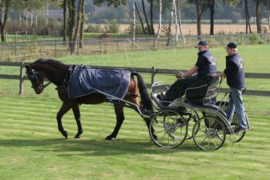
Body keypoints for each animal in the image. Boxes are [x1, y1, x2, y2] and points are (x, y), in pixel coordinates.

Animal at [25, 59, 156, 141]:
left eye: (31, 76)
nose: (38, 90)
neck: (66, 76)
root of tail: (130, 74)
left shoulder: (70, 102)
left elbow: (64, 116)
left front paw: (66, 132)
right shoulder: (71, 102)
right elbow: (71, 116)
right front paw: (77, 132)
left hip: (121, 102)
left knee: (126, 117)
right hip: (130, 100)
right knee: (141, 114)